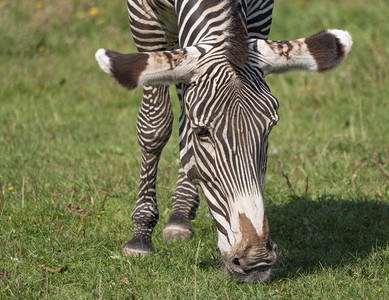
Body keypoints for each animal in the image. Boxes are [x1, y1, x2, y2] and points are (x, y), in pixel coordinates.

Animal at [94, 0, 352, 282]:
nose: (256, 260)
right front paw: (140, 236)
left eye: (270, 127)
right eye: (202, 132)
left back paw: (181, 212)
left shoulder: (261, 17)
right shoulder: (144, 21)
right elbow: (155, 125)